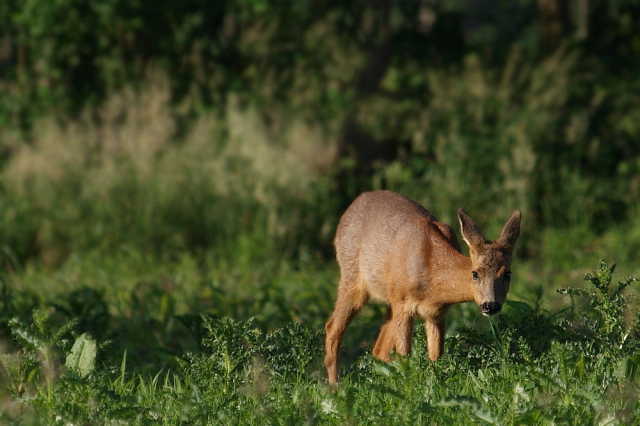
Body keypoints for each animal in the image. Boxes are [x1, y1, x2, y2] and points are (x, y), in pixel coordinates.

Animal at [324, 190, 520, 382]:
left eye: (507, 274)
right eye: (475, 273)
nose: (491, 305)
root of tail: (353, 205)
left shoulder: (437, 314)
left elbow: (436, 356)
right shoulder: (403, 305)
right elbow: (405, 358)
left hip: (389, 300)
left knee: (378, 350)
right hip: (352, 277)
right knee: (332, 327)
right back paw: (335, 386)